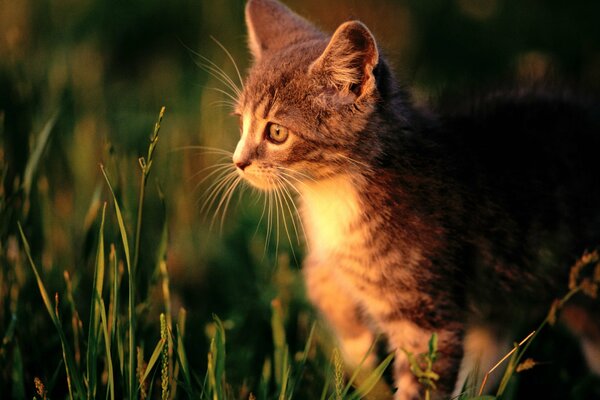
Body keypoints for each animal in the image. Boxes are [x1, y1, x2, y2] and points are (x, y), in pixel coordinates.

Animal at [229, 0, 600, 396]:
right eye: (241, 123)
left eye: (276, 132)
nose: (238, 162)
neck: (332, 192)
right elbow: (320, 278)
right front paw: (355, 343)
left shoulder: (426, 317)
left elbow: (423, 379)